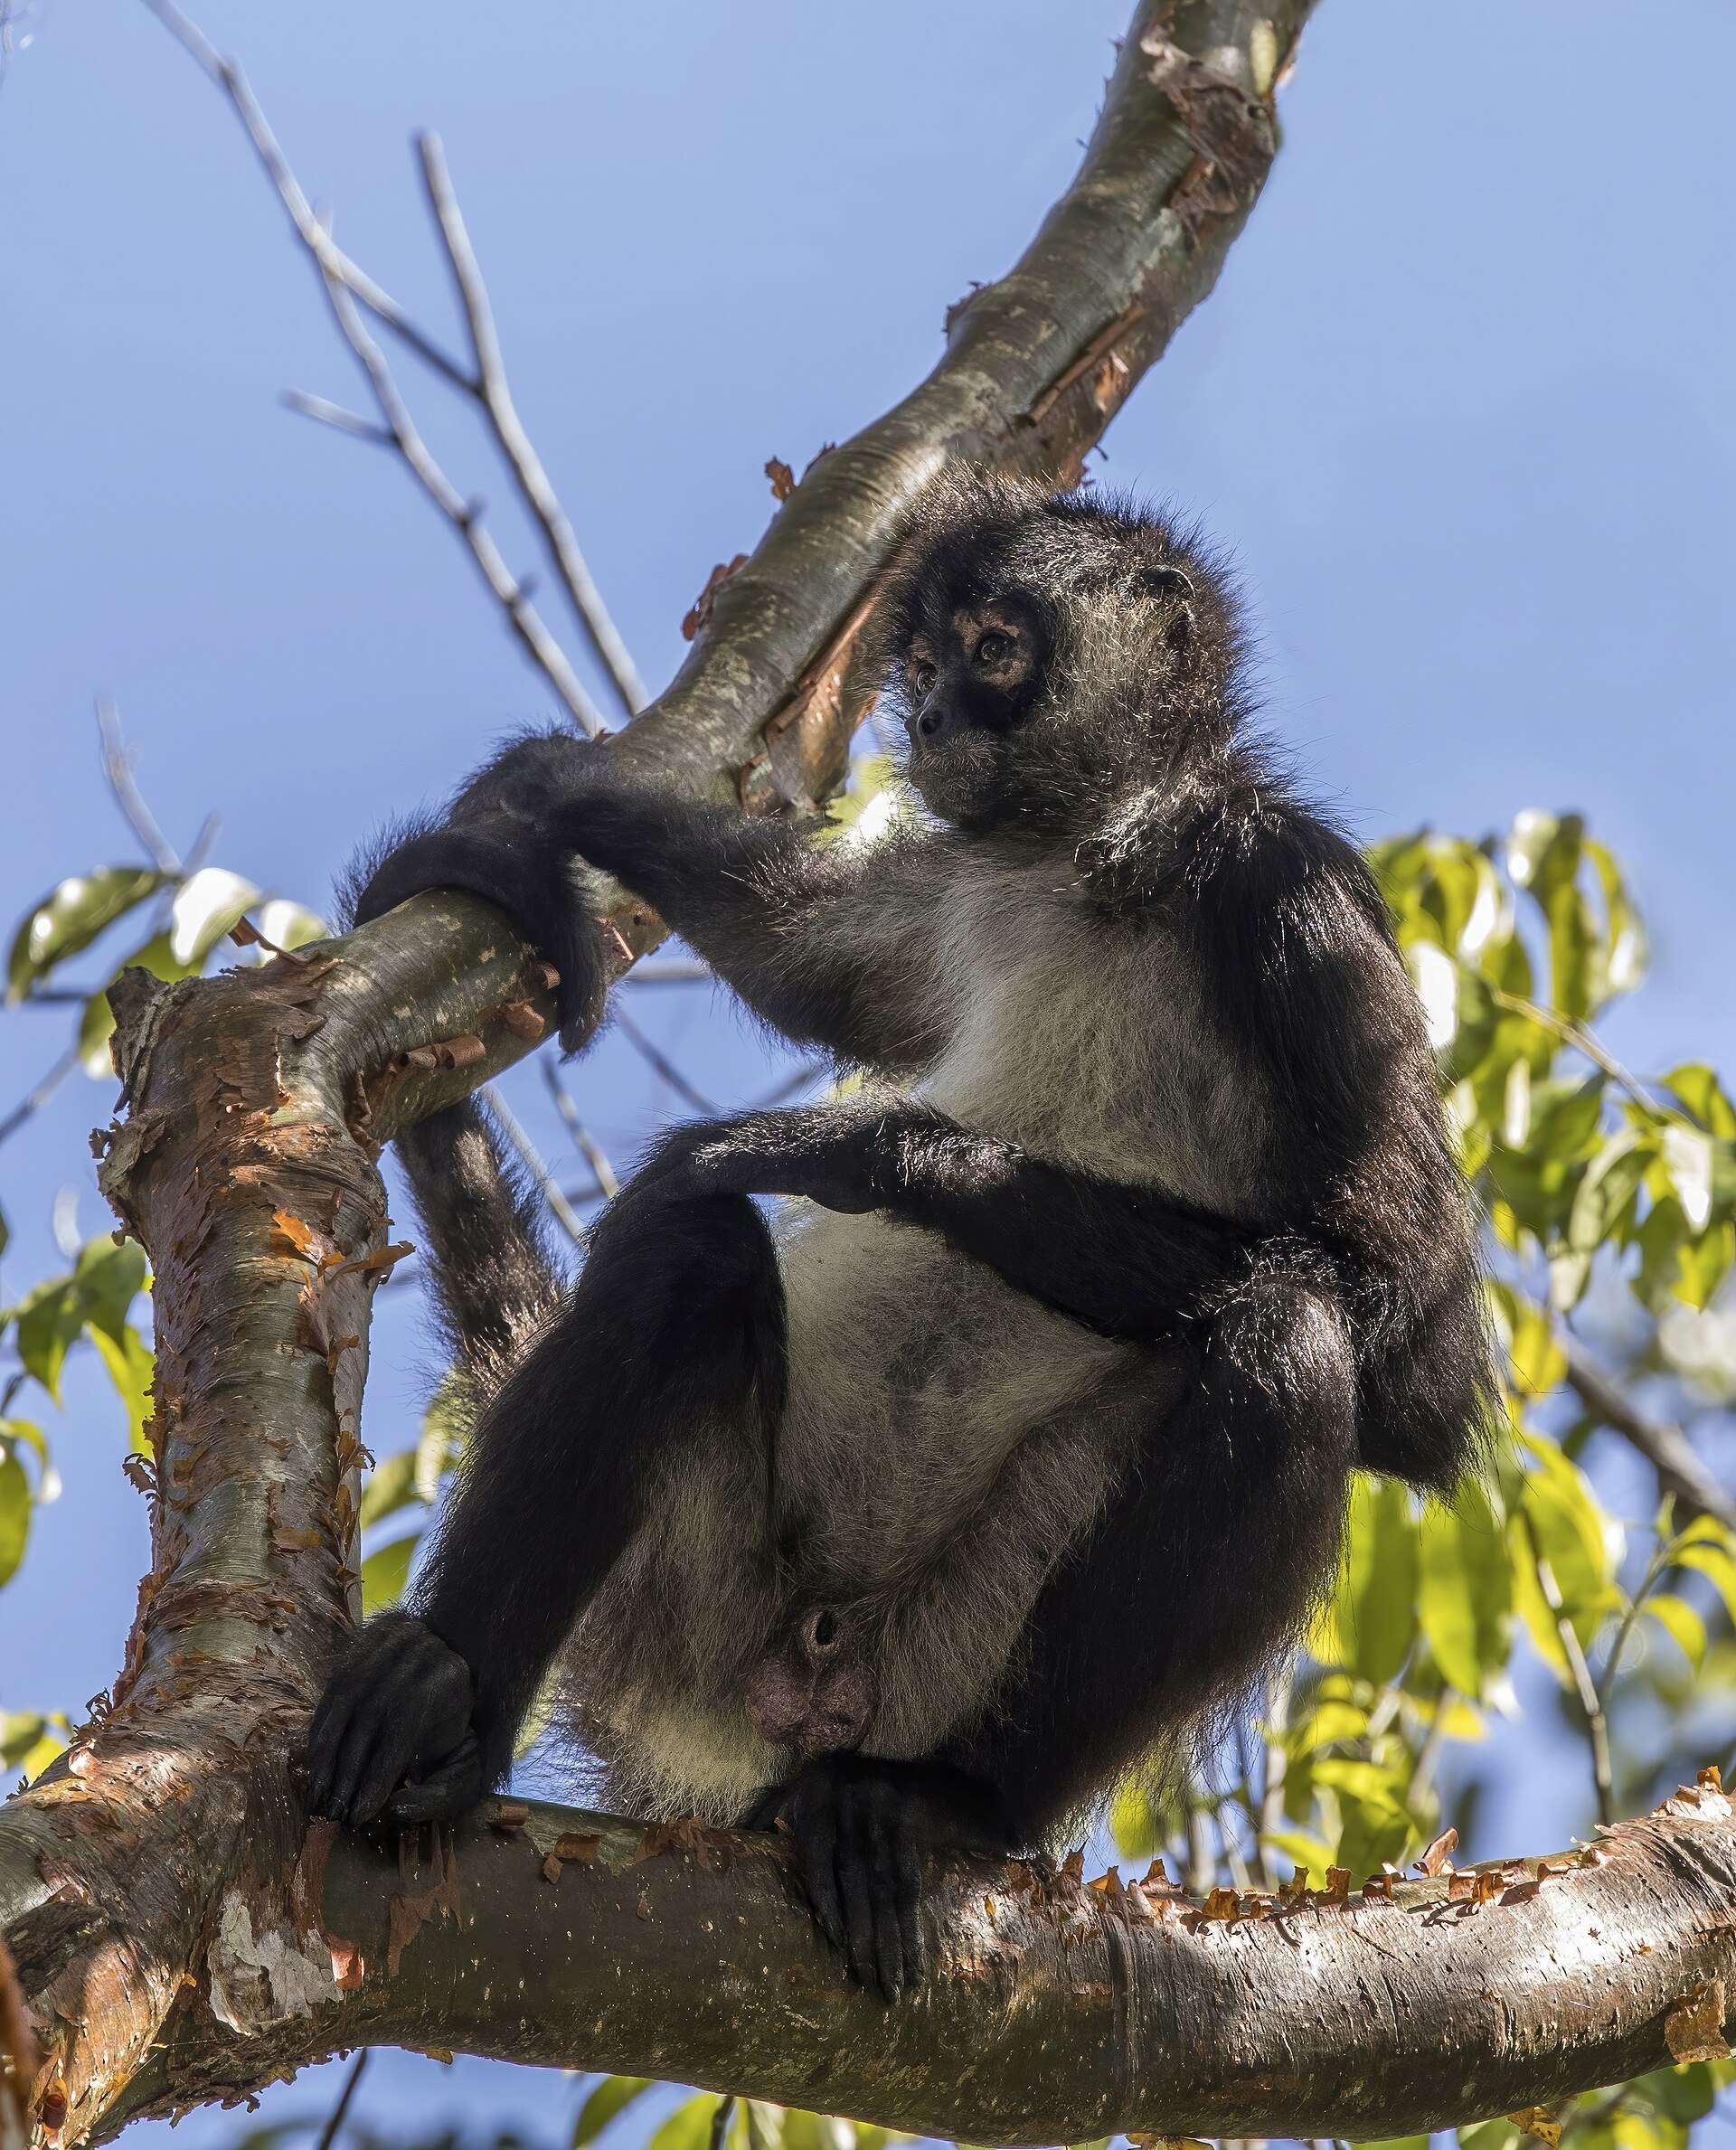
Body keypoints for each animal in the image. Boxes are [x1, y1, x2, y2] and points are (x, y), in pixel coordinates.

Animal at [307, 473, 1495, 2002]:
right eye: (919, 663)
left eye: (995, 649)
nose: (924, 720)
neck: (1098, 864)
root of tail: (804, 1674)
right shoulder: (973, 878)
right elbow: (803, 964)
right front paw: (560, 788)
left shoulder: (1289, 895)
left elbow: (1418, 1360)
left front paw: (851, 1151)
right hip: (698, 1598)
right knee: (685, 1260)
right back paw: (448, 1702)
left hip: (947, 1657)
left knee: (1290, 1337)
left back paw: (942, 1802)